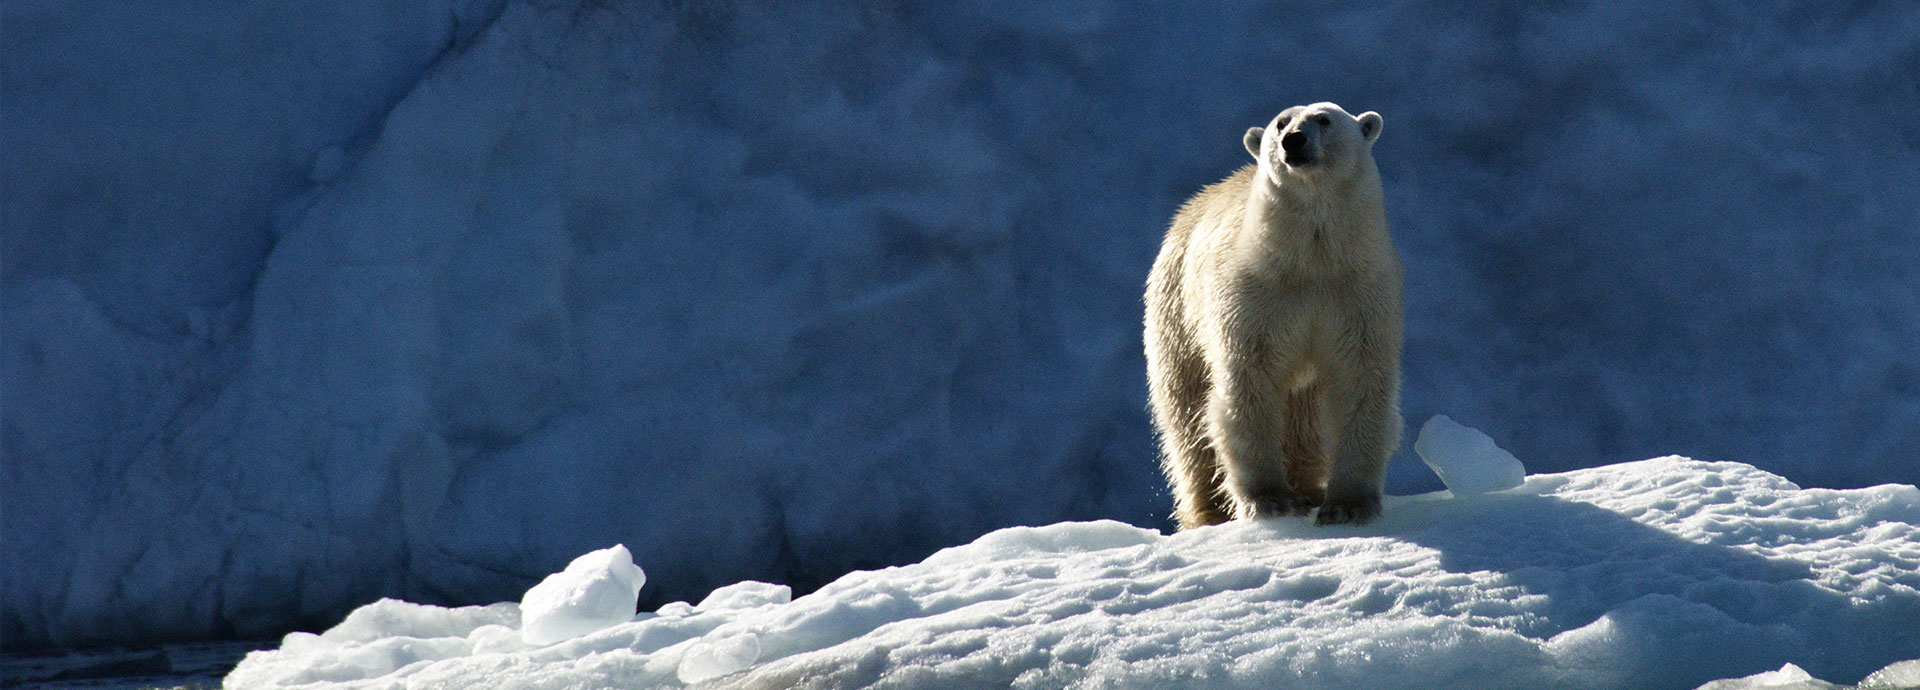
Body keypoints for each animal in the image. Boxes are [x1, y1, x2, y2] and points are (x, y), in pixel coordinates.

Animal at [1144, 102, 1403, 529]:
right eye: (1280, 123)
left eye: (1324, 119)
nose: (1293, 140)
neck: (1311, 262)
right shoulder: (1254, 298)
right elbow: (1250, 384)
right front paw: (1271, 501)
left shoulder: (1358, 294)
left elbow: (1359, 381)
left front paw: (1348, 505)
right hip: (1176, 311)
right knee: (1186, 416)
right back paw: (1209, 512)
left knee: (1302, 414)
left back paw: (1308, 489)